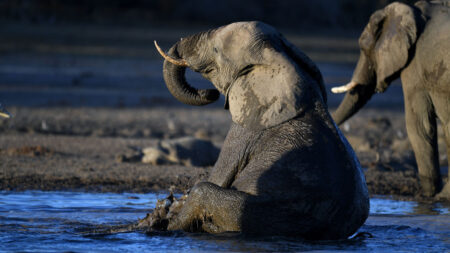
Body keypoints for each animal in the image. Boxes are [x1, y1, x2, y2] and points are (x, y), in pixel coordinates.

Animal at [155, 21, 370, 239]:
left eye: (216, 49)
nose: (210, 93)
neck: (280, 59)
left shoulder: (247, 128)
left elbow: (218, 176)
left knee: (203, 191)